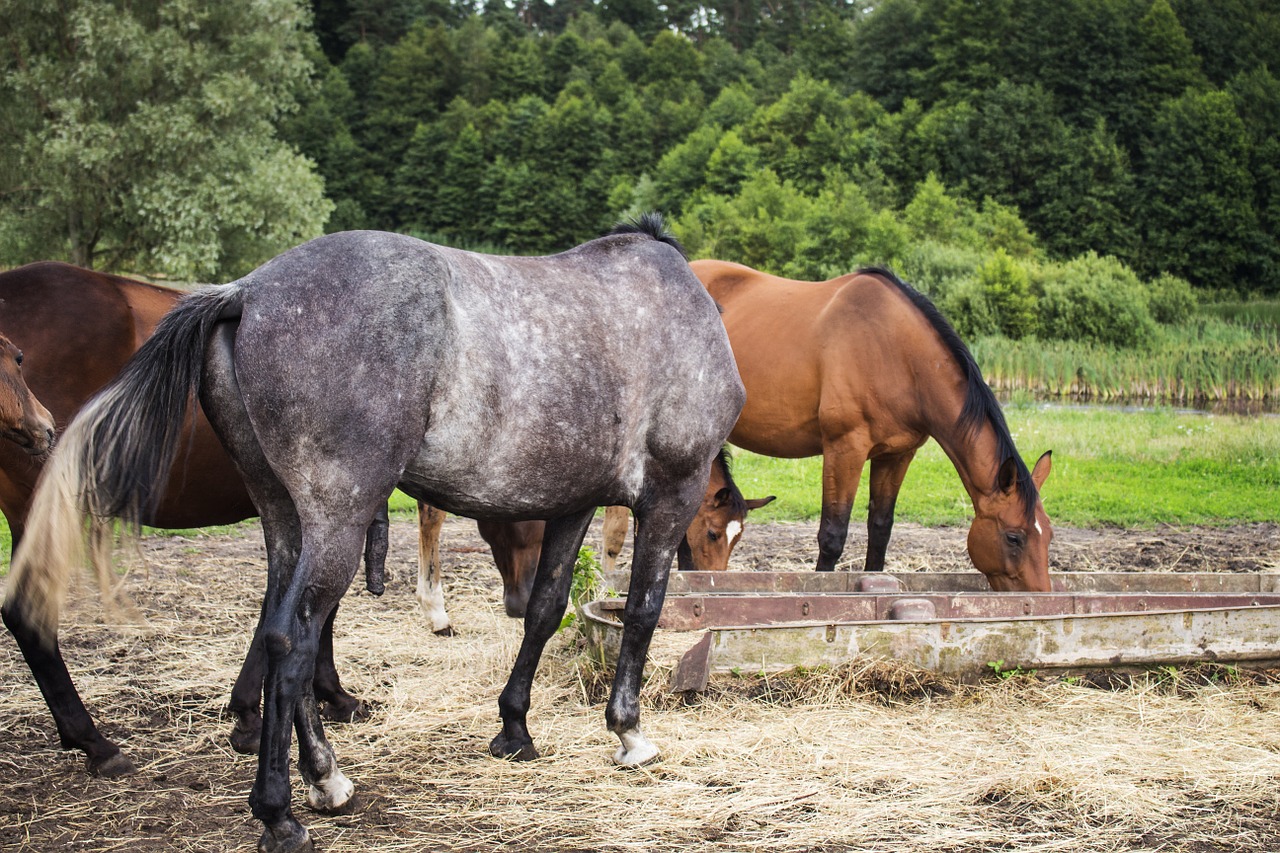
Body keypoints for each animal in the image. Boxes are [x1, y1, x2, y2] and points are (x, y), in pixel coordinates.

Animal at [696, 258, 1054, 591]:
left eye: (1048, 533)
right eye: (1014, 537)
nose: (1041, 597)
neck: (896, 352)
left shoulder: (896, 455)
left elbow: (880, 528)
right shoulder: (845, 449)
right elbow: (833, 534)